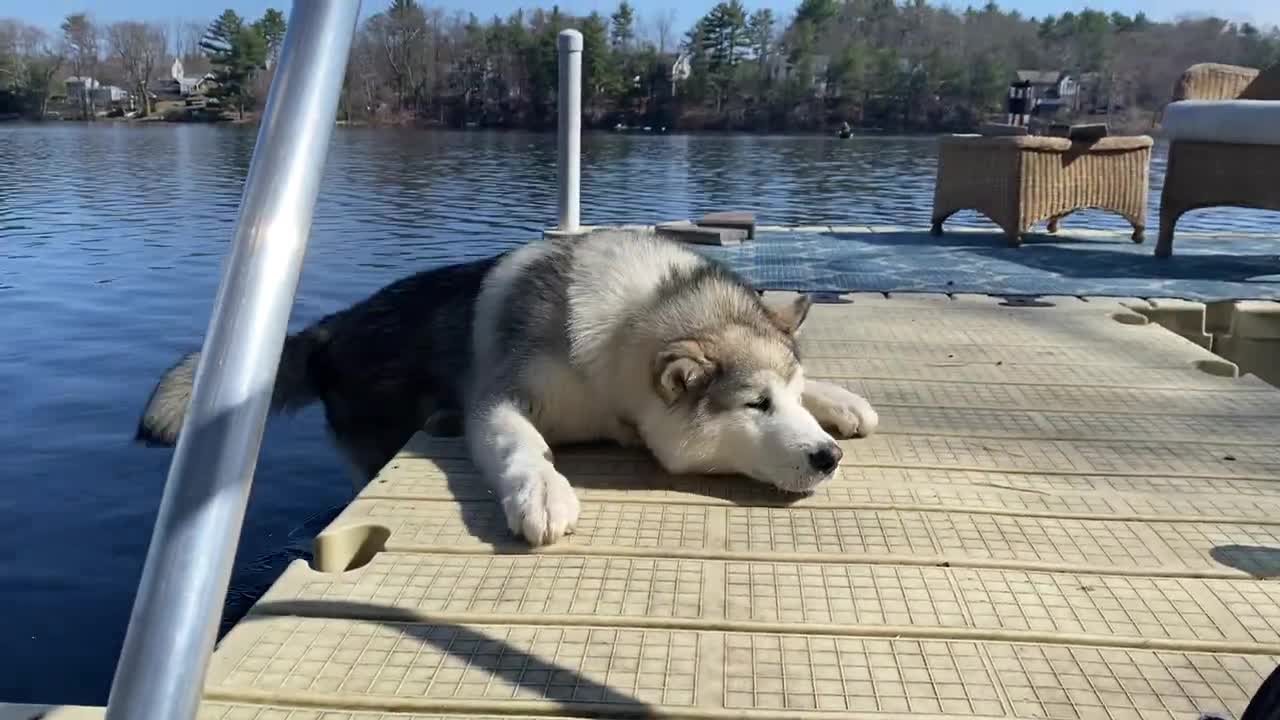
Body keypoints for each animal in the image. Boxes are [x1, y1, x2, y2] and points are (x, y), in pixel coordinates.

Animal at [140, 229, 880, 543]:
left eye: (791, 394)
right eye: (756, 404)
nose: (828, 458)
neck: (632, 324)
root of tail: (331, 328)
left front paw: (841, 399)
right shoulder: (499, 399)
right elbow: (518, 445)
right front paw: (544, 493)